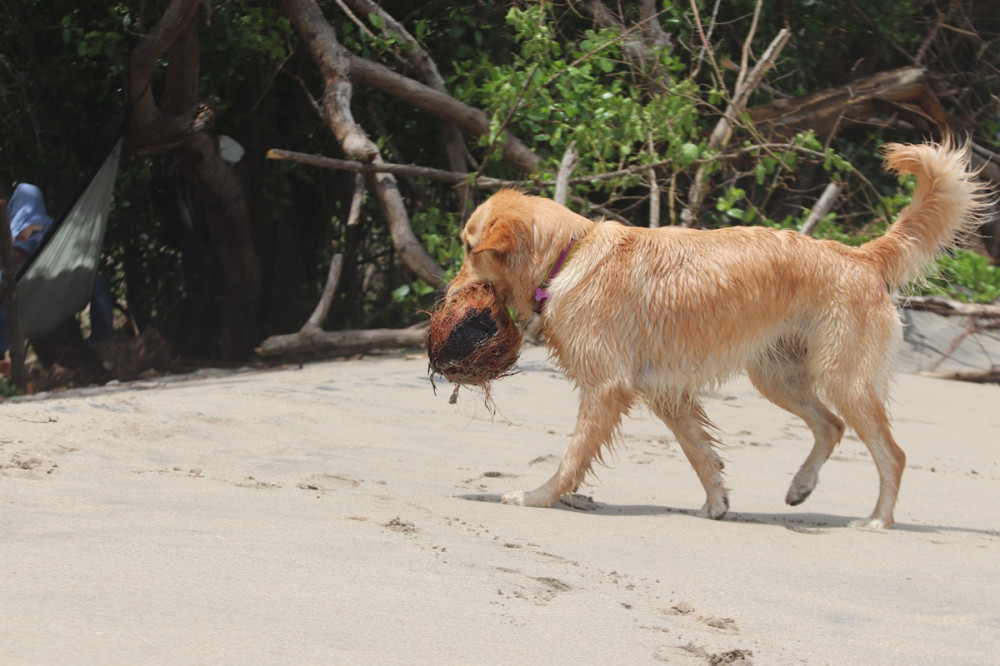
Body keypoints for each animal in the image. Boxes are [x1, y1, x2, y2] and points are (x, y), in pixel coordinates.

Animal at [450, 140, 988, 524]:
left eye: (469, 248)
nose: (446, 291)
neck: (569, 255)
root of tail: (860, 255)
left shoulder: (607, 387)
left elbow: (572, 456)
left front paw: (537, 496)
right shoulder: (666, 392)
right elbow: (701, 453)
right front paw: (716, 502)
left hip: (844, 378)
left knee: (891, 453)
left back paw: (878, 519)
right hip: (778, 377)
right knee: (831, 426)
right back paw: (801, 487)